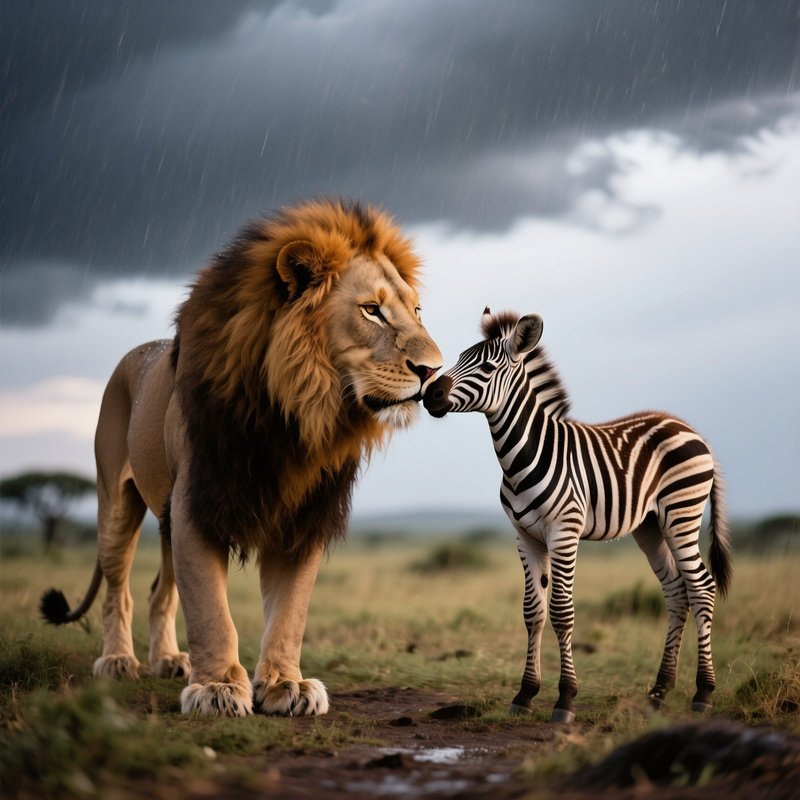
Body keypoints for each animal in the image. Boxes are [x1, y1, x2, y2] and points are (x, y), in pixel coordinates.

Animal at [40, 198, 442, 717]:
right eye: (372, 311)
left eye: (416, 311)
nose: (434, 370)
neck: (295, 415)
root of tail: (134, 354)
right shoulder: (199, 502)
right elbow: (211, 609)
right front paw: (217, 688)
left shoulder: (303, 514)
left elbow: (290, 612)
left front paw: (285, 685)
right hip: (116, 503)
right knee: (118, 589)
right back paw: (117, 661)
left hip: (166, 519)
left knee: (159, 592)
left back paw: (169, 660)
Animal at [423, 308, 732, 723]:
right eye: (457, 358)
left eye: (486, 367)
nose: (429, 394)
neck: (524, 455)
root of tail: (690, 429)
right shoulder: (524, 536)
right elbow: (533, 611)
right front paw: (525, 694)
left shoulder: (564, 531)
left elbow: (561, 611)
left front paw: (565, 698)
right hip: (650, 526)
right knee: (676, 591)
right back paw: (659, 691)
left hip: (681, 514)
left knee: (702, 588)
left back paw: (704, 692)